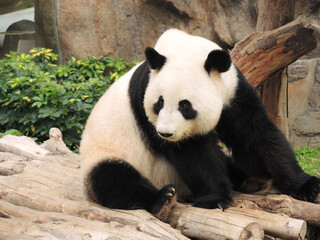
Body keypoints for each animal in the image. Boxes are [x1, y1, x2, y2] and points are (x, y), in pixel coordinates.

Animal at [79, 28, 318, 218]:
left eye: (185, 105)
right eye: (159, 102)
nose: (165, 133)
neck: (184, 49)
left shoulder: (233, 91)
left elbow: (257, 133)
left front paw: (306, 186)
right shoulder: (144, 96)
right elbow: (193, 154)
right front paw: (216, 198)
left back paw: (253, 179)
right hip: (106, 153)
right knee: (112, 179)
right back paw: (163, 197)